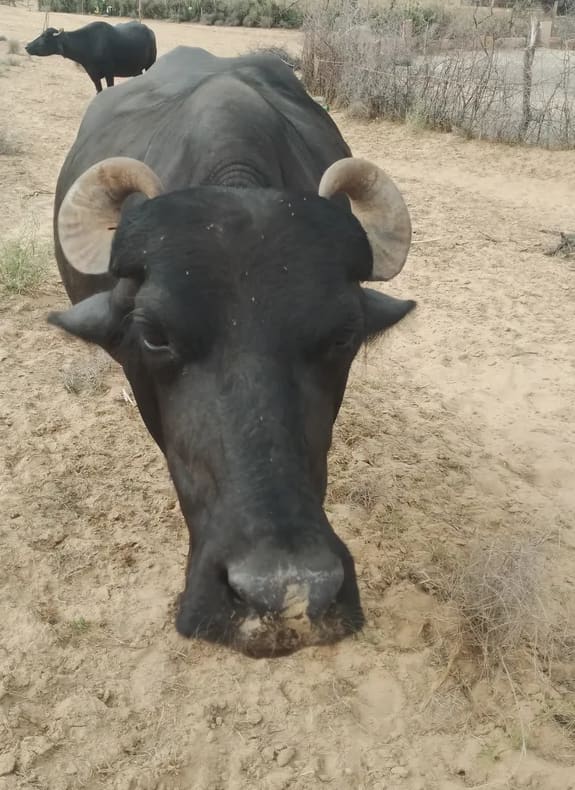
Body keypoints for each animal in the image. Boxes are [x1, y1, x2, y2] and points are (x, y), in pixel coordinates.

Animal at [25, 20, 156, 93]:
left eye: (45, 38)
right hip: (137, 69)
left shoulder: (109, 73)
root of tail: (150, 31)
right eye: (41, 35)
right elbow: (99, 91)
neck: (89, 44)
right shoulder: (93, 75)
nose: (27, 46)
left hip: (150, 64)